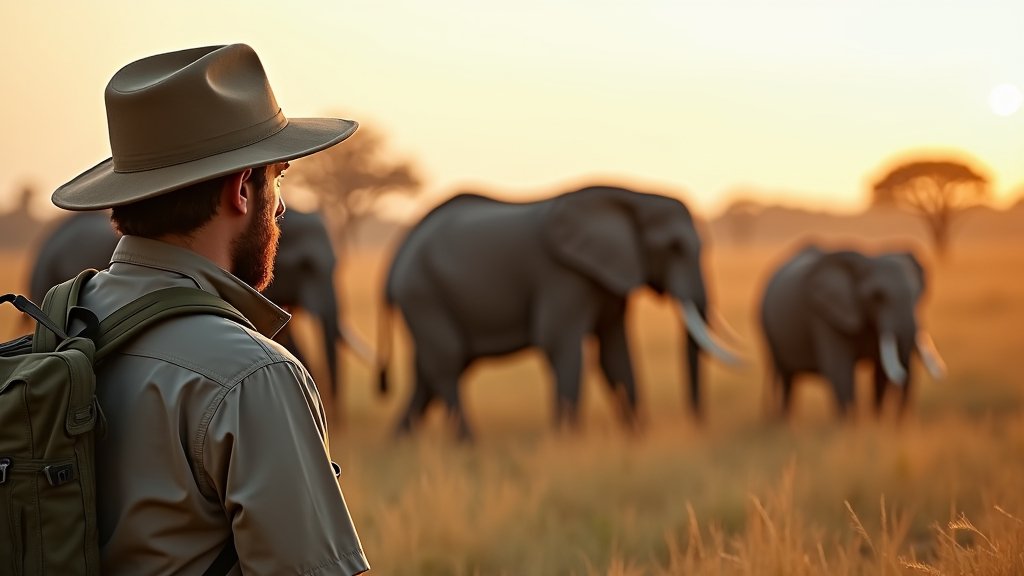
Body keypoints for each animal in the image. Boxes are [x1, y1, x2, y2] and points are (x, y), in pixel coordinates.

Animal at [376, 183, 737, 438]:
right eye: (673, 247)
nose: (697, 425)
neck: (632, 195)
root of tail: (397, 255)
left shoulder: (609, 275)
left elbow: (615, 354)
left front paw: (636, 437)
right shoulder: (562, 275)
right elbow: (560, 344)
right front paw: (568, 442)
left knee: (429, 373)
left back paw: (400, 443)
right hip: (423, 294)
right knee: (447, 364)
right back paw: (467, 442)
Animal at [757, 241, 946, 416]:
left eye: (918, 295)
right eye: (877, 296)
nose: (903, 374)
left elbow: (881, 373)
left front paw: (877, 423)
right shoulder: (825, 314)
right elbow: (840, 370)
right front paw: (849, 426)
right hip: (766, 328)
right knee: (784, 377)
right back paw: (781, 421)